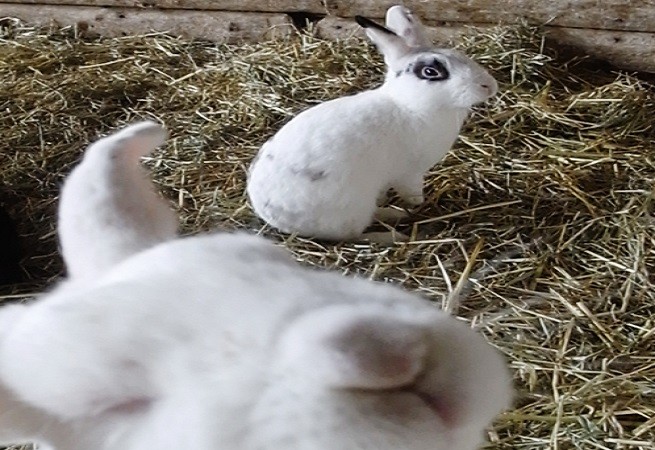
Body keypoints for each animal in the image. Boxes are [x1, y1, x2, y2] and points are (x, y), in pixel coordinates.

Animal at [246, 5, 498, 241]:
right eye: (430, 72)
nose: (489, 86)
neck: (409, 106)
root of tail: (272, 215)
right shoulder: (410, 173)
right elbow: (413, 195)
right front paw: (417, 205)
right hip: (352, 211)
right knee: (354, 236)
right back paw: (393, 233)